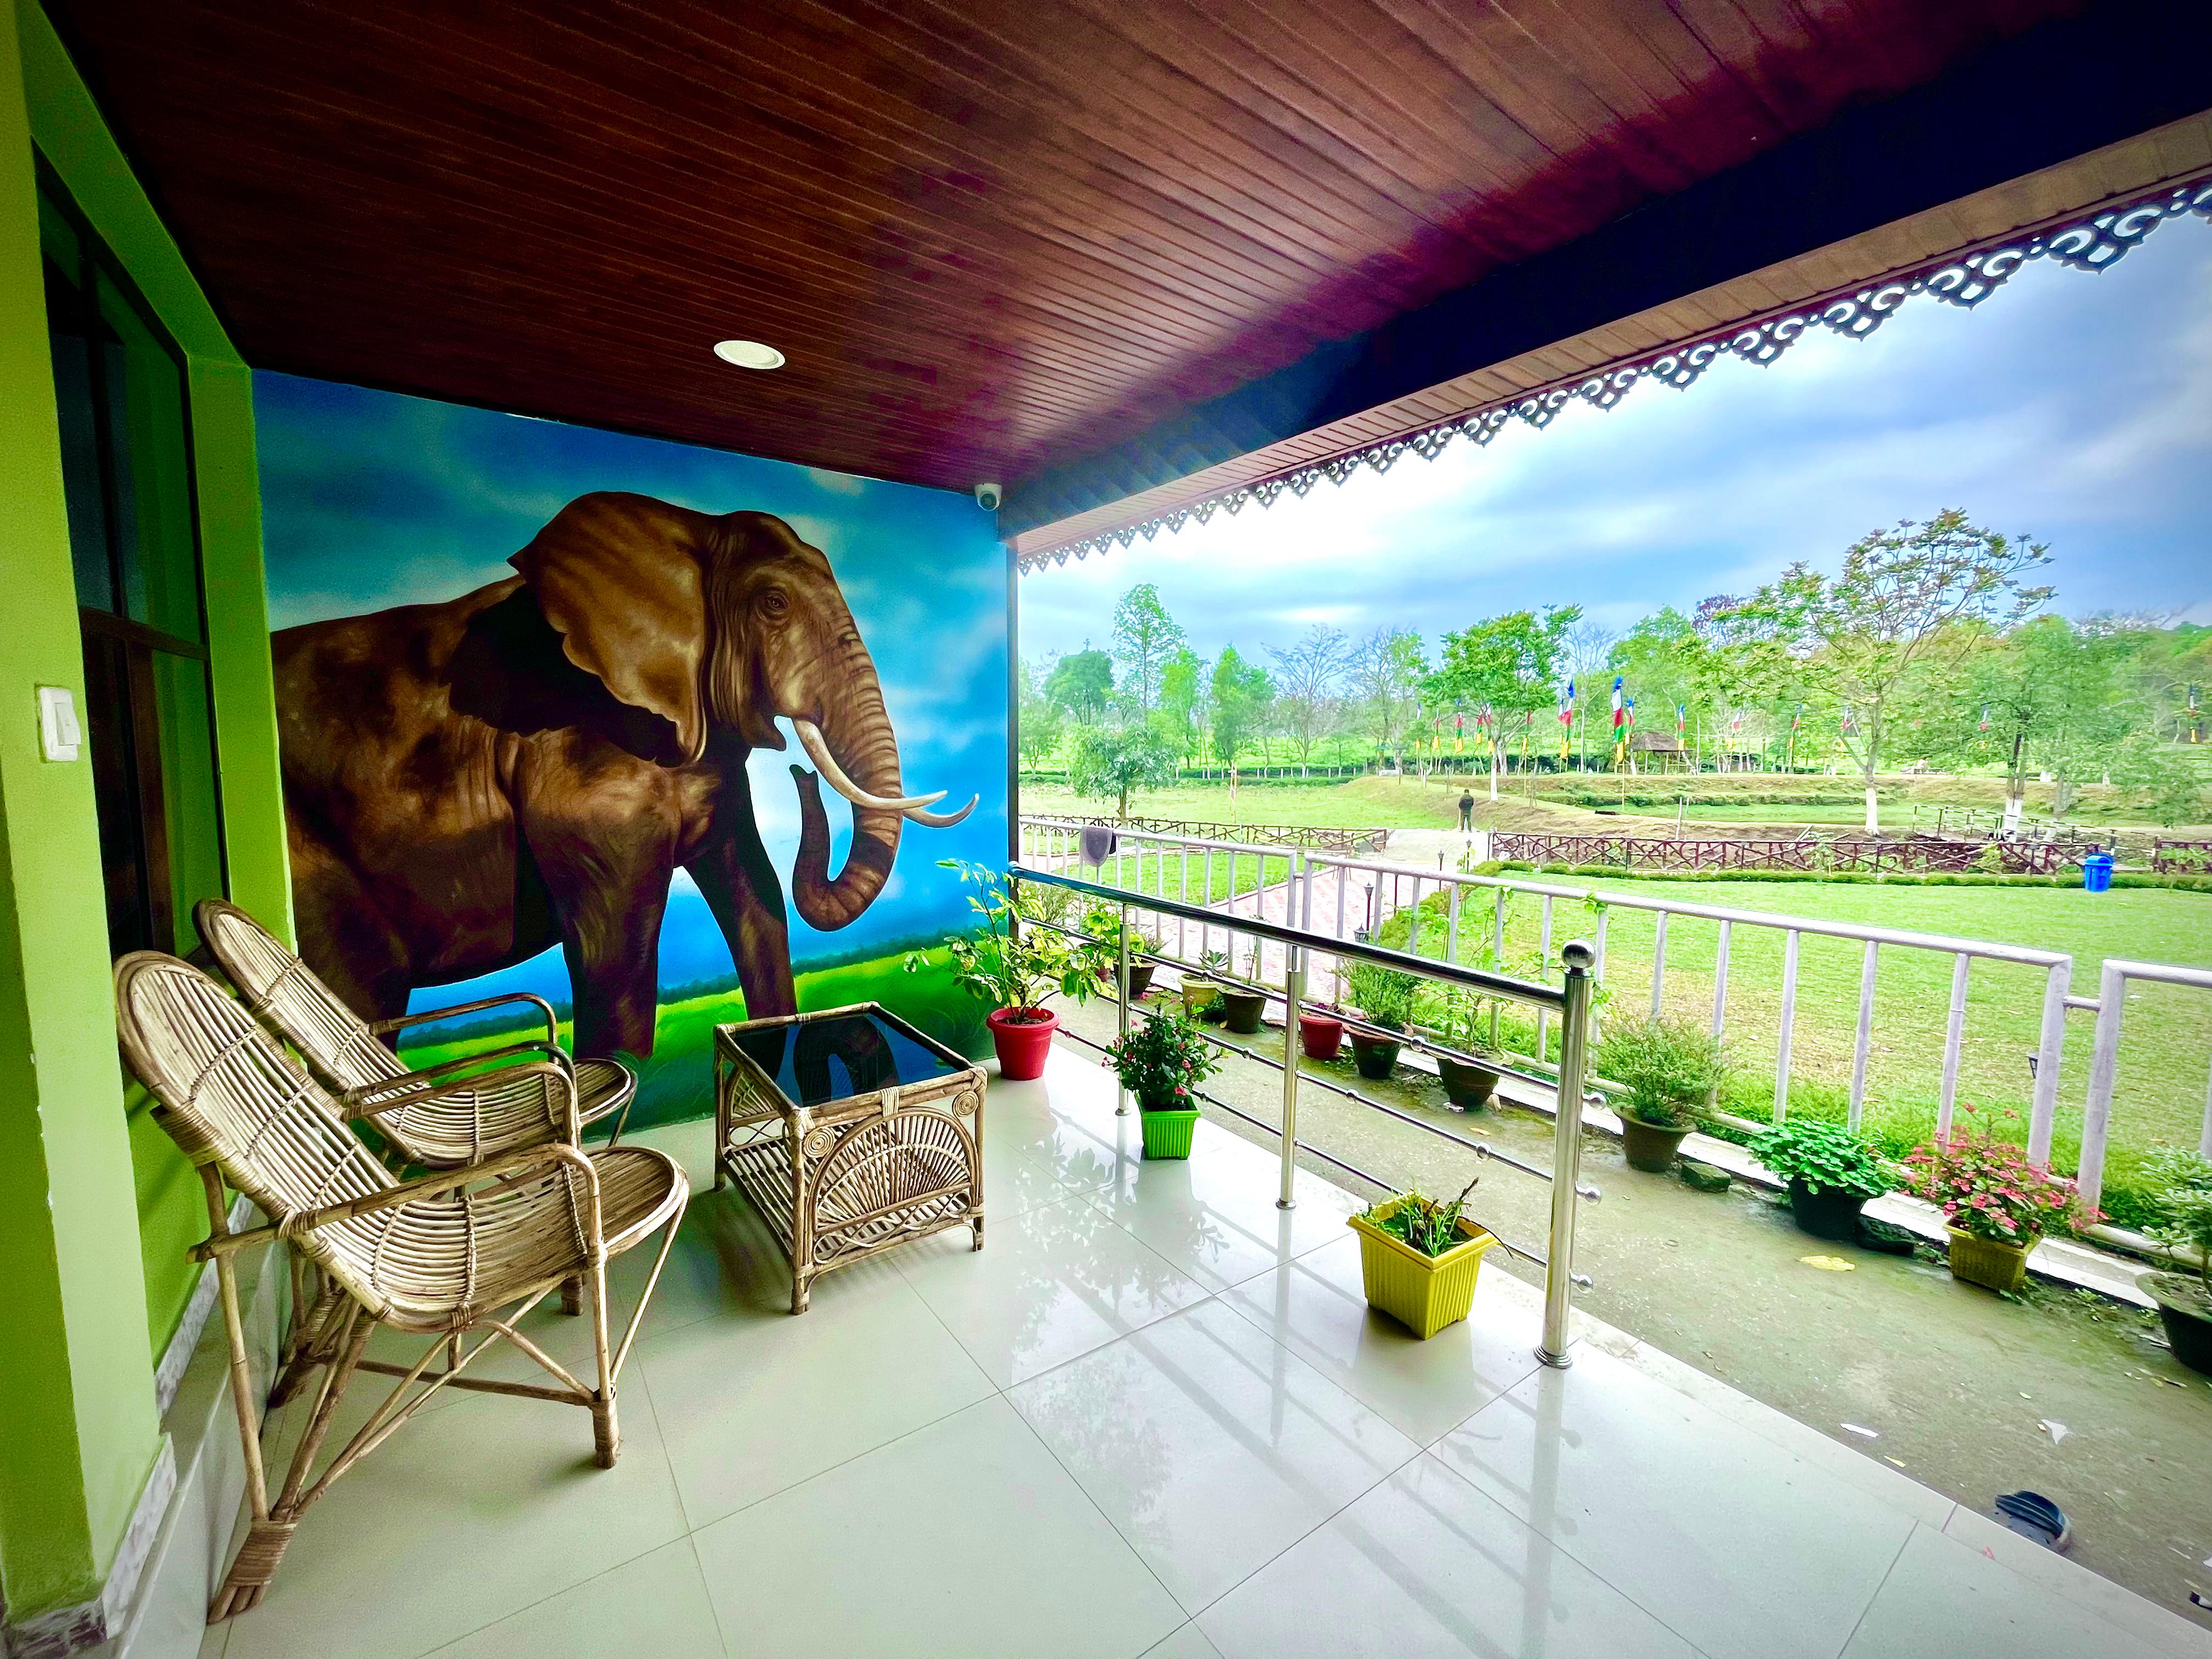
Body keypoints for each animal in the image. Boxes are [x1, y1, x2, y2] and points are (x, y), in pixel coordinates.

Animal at [272, 491, 977, 1058]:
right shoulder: (579, 765)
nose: (802, 772)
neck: (686, 531)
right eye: (774, 604)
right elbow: (618, 958)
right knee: (367, 983)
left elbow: (756, 899)